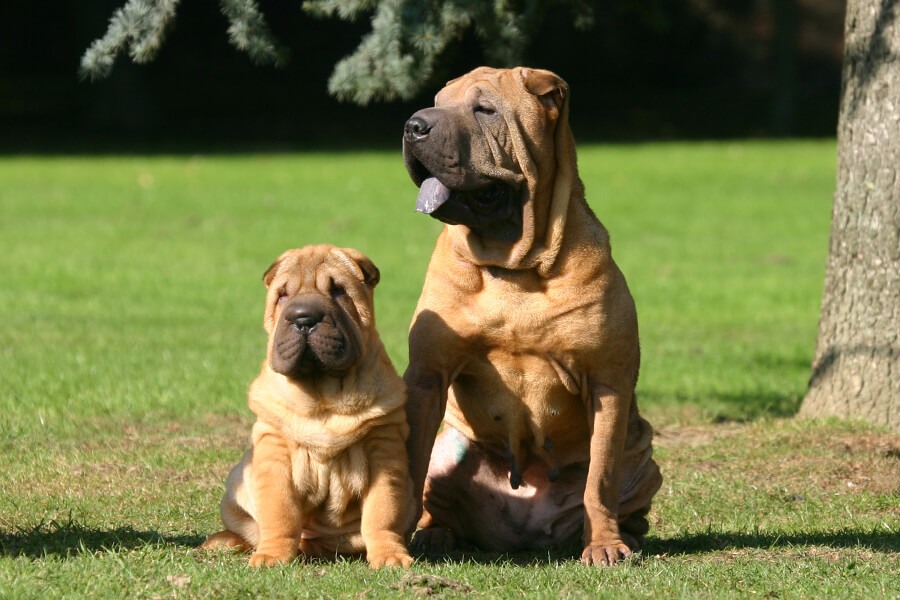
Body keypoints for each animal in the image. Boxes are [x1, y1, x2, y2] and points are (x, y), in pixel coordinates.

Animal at [203, 243, 414, 568]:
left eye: (338, 290)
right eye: (283, 295)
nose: (303, 318)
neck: (322, 395)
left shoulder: (384, 448)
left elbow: (383, 511)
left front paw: (391, 555)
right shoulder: (274, 449)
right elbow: (279, 510)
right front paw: (271, 555)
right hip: (235, 487)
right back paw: (225, 542)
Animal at [400, 68, 660, 564]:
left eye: (485, 110)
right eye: (438, 102)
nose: (413, 125)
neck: (513, 265)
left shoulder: (607, 383)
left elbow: (601, 478)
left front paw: (604, 546)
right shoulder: (426, 376)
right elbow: (407, 465)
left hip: (643, 455)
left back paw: (627, 537)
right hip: (450, 446)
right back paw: (434, 534)